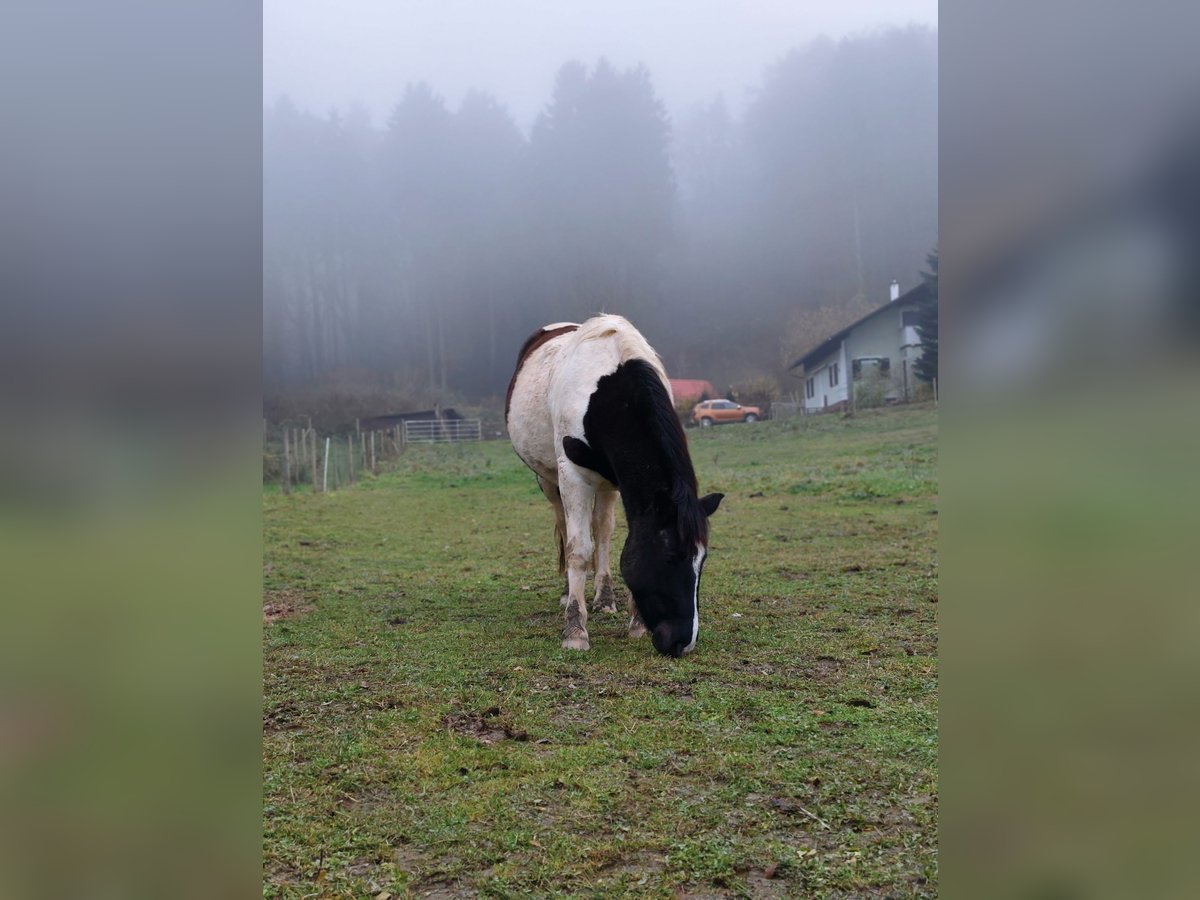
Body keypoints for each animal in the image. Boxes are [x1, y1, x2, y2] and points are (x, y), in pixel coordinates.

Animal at [506, 315, 723, 657]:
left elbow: (616, 539)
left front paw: (636, 623)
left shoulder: (622, 481)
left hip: (607, 483)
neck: (609, 391)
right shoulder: (572, 475)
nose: (682, 642)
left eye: (702, 561)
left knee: (603, 531)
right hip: (549, 480)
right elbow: (578, 549)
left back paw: (604, 597)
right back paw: (569, 593)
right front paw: (575, 630)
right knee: (565, 527)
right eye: (670, 557)